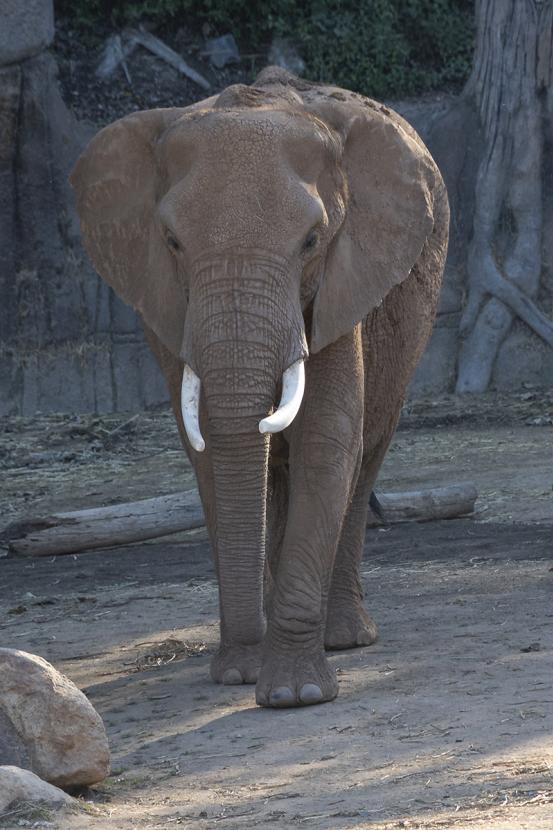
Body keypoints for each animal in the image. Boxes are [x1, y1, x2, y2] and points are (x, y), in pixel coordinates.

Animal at [70, 67, 449, 708]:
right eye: (172, 242)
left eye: (312, 240)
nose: (239, 675)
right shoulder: (166, 304)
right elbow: (207, 449)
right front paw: (244, 671)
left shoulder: (343, 280)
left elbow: (328, 443)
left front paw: (295, 694)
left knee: (367, 454)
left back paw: (345, 638)